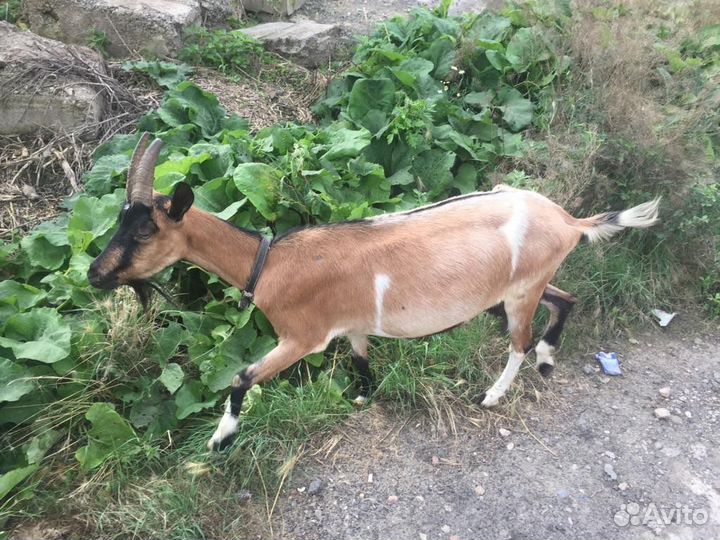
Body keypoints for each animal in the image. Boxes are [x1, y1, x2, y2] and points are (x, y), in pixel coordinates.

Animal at [87, 134, 661, 451]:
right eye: (118, 221)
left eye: (144, 231)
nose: (95, 274)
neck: (270, 264)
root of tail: (568, 220)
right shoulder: (355, 326)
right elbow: (362, 366)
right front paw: (361, 399)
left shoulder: (304, 336)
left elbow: (239, 377)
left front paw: (220, 438)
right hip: (523, 286)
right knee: (565, 300)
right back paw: (546, 358)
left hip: (520, 291)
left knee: (517, 341)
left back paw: (496, 393)